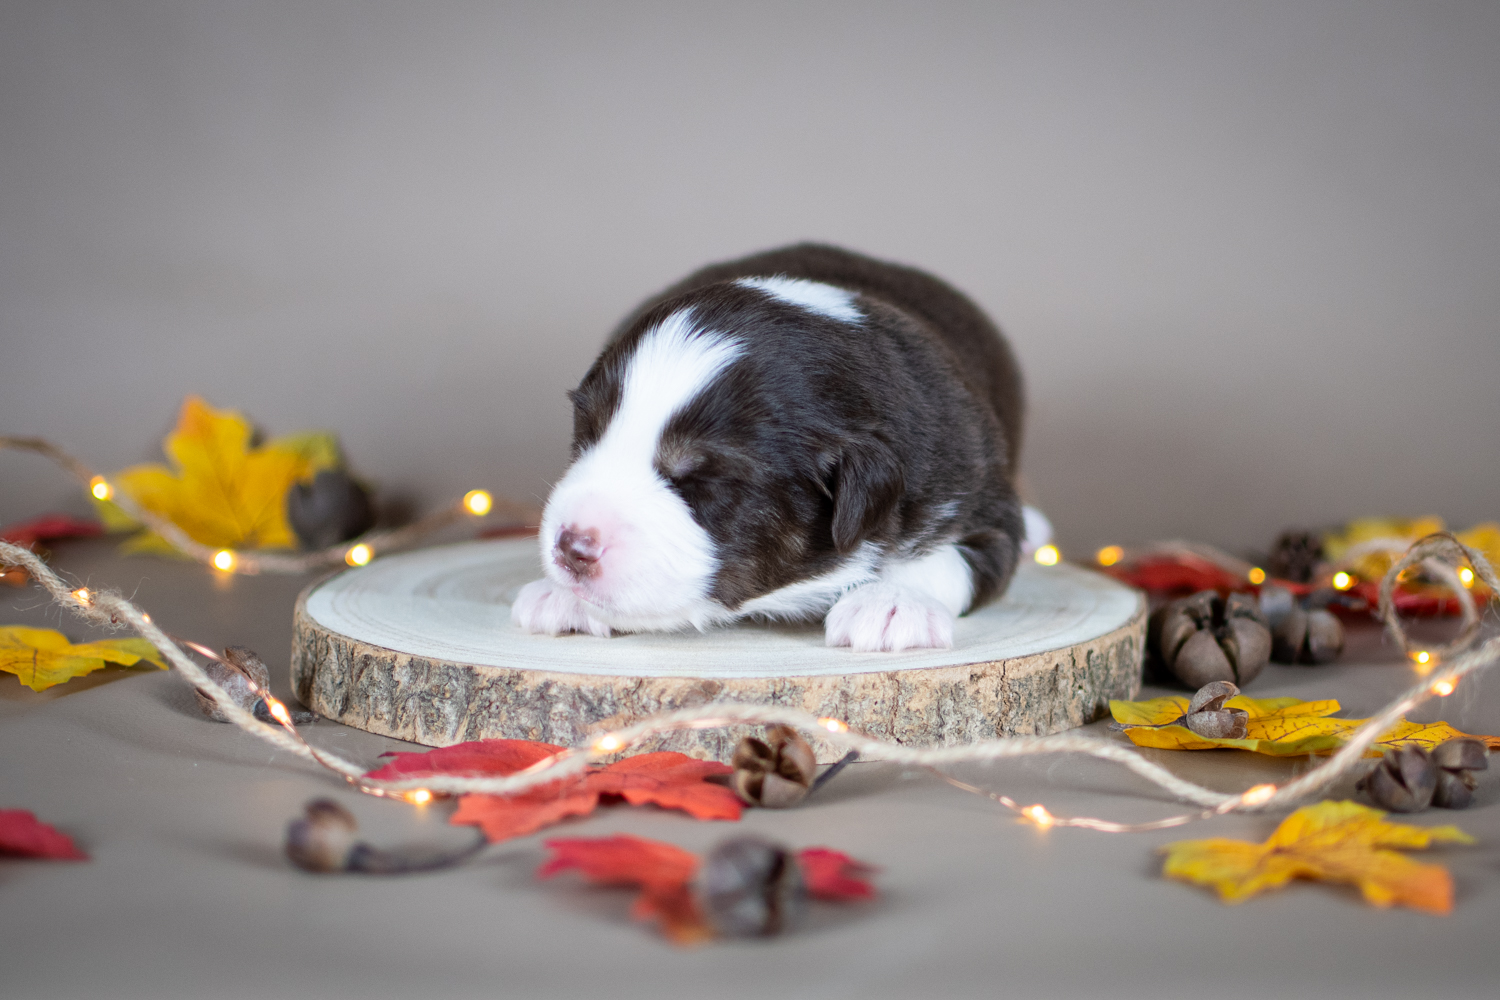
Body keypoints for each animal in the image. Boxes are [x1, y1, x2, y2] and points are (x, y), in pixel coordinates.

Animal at [510, 241, 1026, 650]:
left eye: (704, 483)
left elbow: (951, 560)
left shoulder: (979, 492)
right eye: (587, 435)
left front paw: (890, 603)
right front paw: (559, 594)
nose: (572, 546)